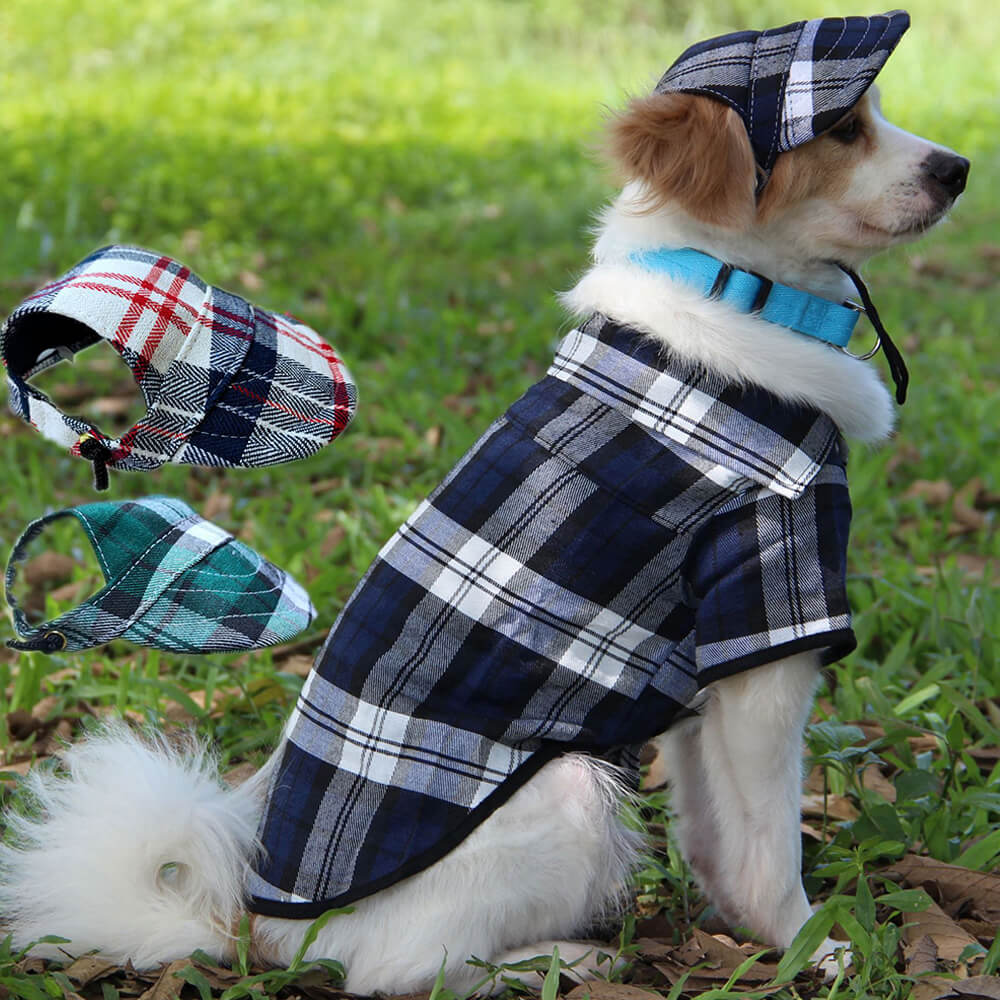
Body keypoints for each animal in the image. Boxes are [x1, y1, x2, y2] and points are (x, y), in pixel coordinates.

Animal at [0, 11, 968, 996]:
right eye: (843, 129)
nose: (960, 168)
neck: (733, 292)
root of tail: (254, 928)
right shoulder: (768, 612)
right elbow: (770, 843)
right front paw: (814, 946)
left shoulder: (705, 667)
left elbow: (717, 834)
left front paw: (753, 933)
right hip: (569, 788)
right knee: (401, 972)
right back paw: (558, 959)